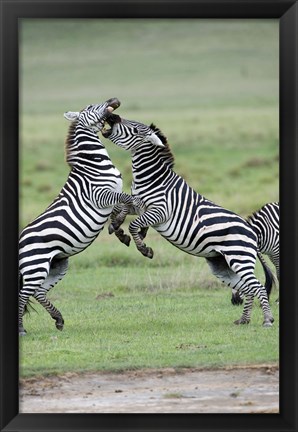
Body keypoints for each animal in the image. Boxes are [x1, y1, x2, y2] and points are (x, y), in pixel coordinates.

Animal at [18, 98, 141, 334]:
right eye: (92, 107)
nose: (113, 100)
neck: (93, 163)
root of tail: (19, 241)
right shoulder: (100, 194)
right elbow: (128, 199)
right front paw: (120, 225)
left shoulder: (109, 197)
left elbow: (121, 206)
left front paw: (118, 229)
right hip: (35, 265)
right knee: (23, 294)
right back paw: (21, 329)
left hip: (57, 264)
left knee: (38, 292)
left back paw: (58, 319)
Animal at [102, 113, 274, 326]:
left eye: (134, 128)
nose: (111, 116)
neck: (150, 178)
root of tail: (252, 232)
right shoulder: (139, 204)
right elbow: (121, 207)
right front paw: (117, 227)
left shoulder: (160, 211)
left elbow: (134, 224)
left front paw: (143, 248)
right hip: (222, 265)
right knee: (248, 288)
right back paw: (243, 320)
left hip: (238, 257)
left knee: (257, 286)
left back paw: (267, 320)